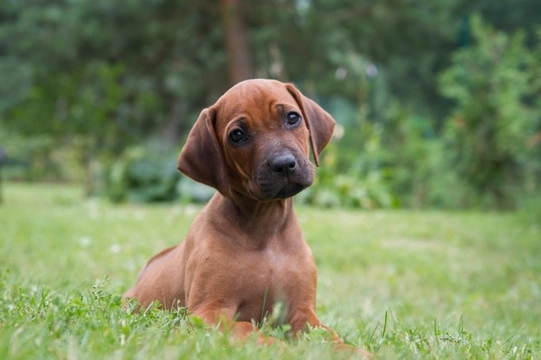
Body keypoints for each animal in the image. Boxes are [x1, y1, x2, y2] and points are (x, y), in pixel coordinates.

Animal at [122, 79, 368, 354]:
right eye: (237, 135)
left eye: (293, 118)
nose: (284, 164)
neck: (265, 228)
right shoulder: (207, 311)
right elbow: (246, 329)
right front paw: (280, 349)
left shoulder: (301, 311)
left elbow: (326, 335)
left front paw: (352, 352)